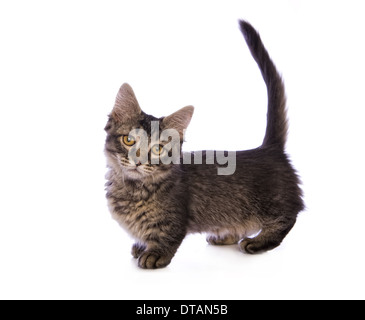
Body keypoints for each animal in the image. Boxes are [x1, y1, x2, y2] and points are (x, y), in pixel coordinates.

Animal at [104, 21, 302, 268]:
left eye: (158, 148)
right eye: (129, 139)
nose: (139, 161)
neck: (132, 188)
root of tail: (268, 149)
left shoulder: (175, 218)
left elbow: (167, 235)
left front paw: (155, 253)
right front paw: (141, 245)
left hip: (273, 203)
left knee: (288, 218)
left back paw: (258, 242)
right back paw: (227, 235)